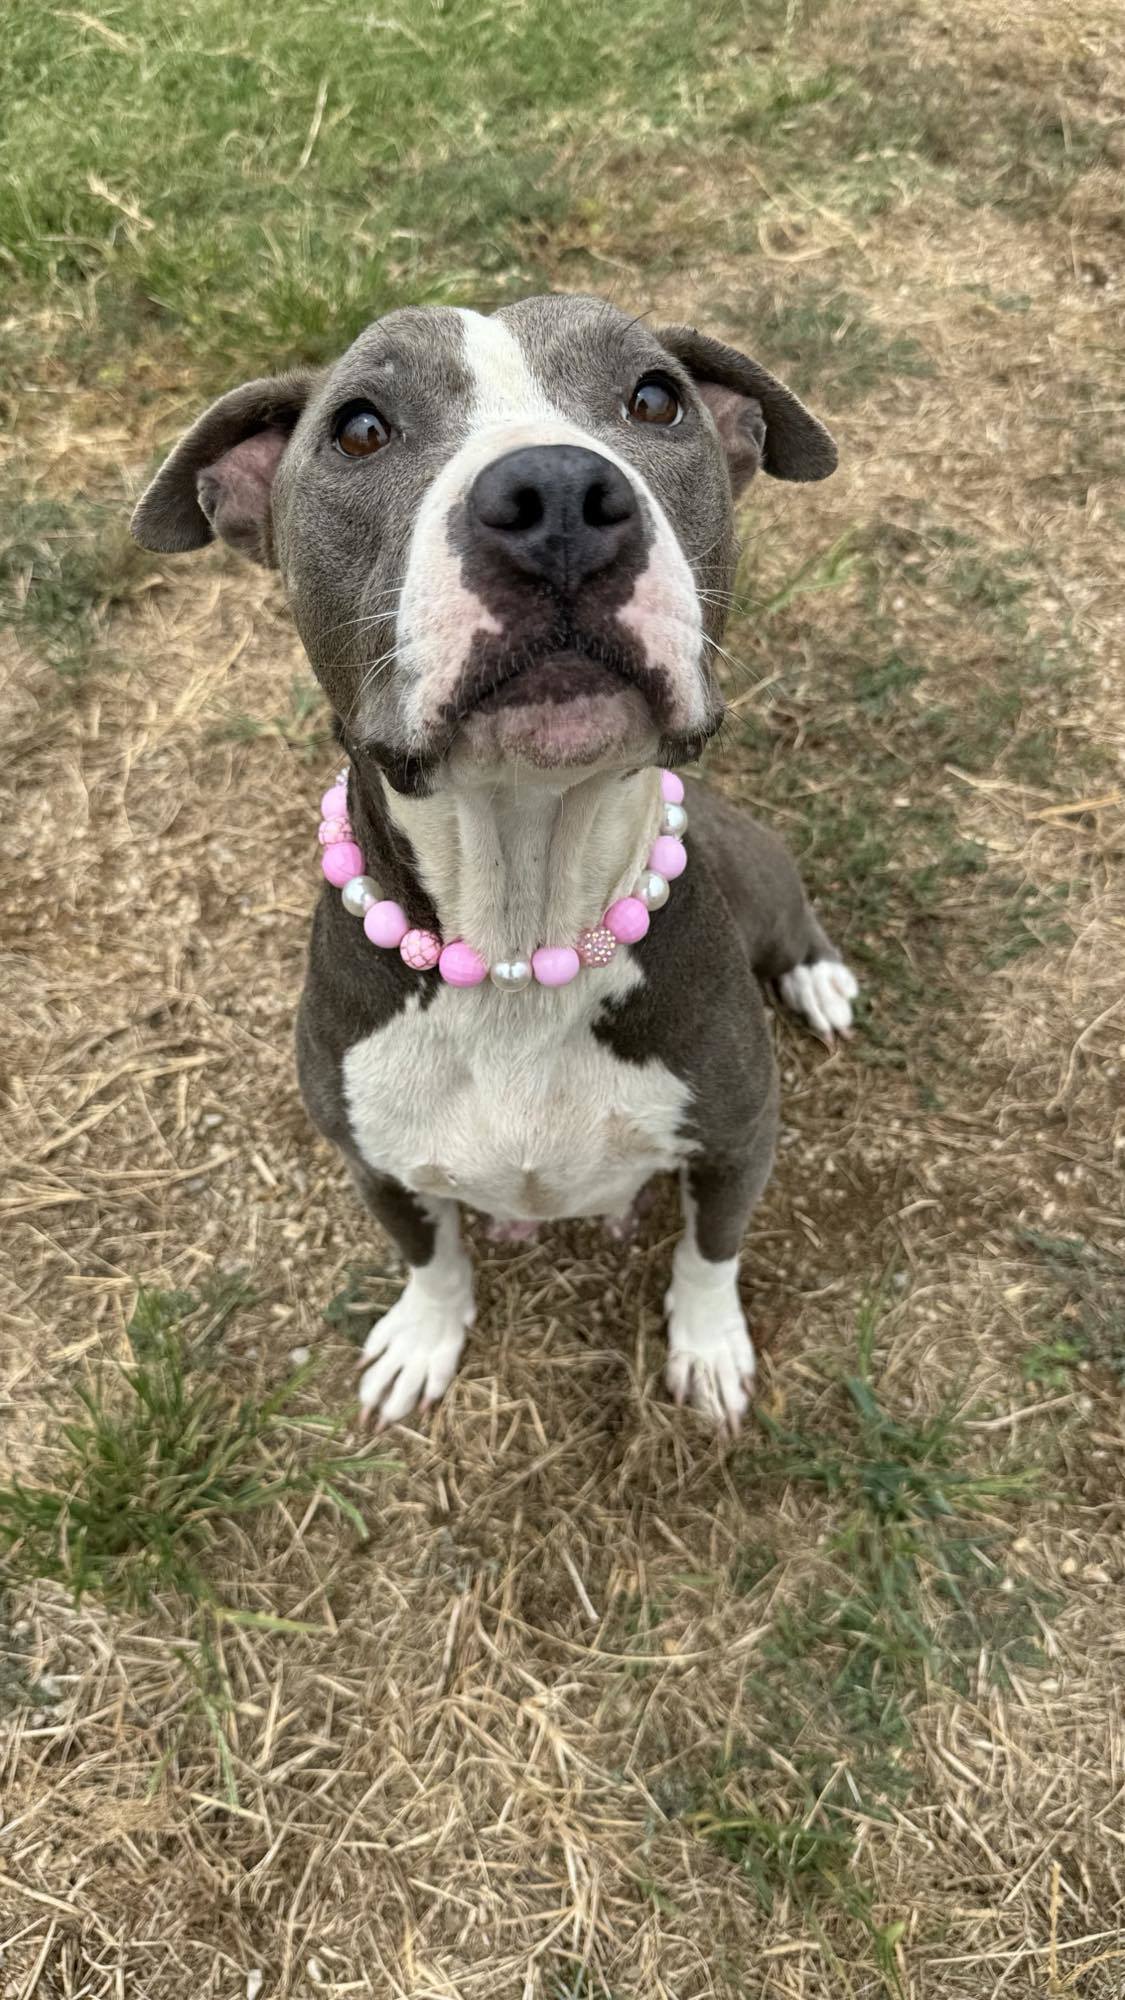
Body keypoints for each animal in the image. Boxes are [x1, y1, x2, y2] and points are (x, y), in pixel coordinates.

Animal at [131, 290, 852, 1432]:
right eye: (360, 428)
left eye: (656, 399)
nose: (556, 492)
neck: (521, 922)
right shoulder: (375, 1163)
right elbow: (431, 1256)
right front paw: (424, 1339)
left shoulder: (741, 1135)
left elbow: (710, 1252)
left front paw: (708, 1346)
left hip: (760, 862)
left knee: (793, 924)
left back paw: (818, 975)